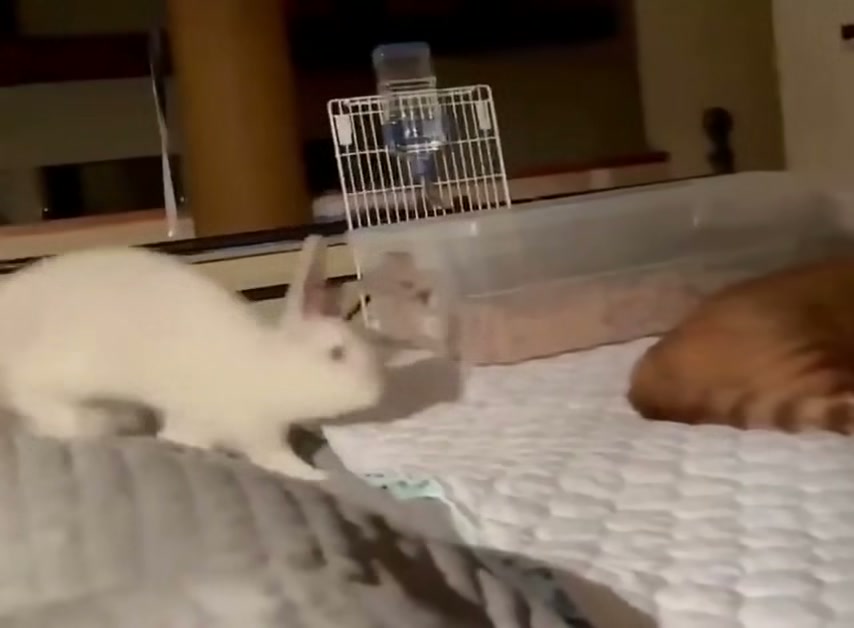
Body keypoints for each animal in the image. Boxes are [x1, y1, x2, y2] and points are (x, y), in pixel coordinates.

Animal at [0, 236, 384, 481]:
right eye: (336, 354)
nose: (377, 393)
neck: (268, 368)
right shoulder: (253, 432)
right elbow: (276, 460)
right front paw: (317, 475)